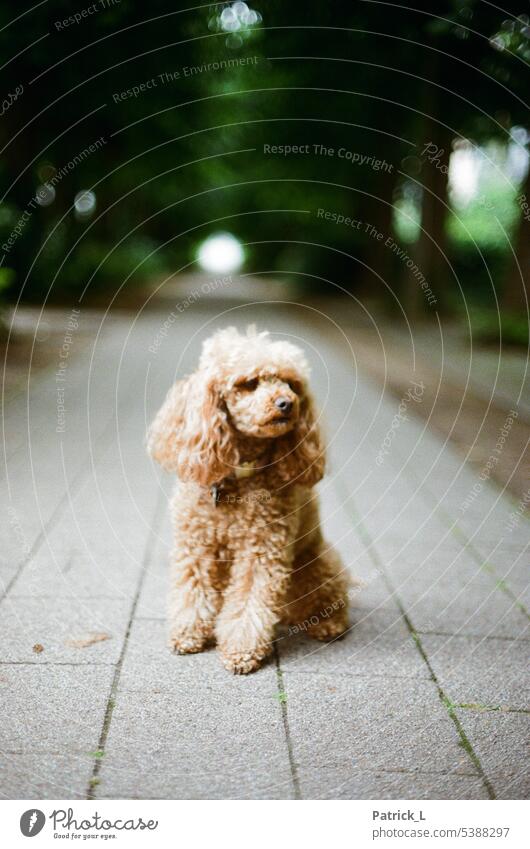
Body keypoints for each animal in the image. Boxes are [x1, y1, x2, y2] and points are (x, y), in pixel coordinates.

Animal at [146, 322, 348, 668]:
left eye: (292, 384)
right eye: (250, 383)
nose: (286, 403)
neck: (237, 477)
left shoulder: (262, 549)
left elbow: (249, 598)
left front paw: (242, 649)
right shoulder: (196, 546)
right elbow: (192, 589)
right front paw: (188, 634)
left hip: (317, 563)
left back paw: (328, 624)